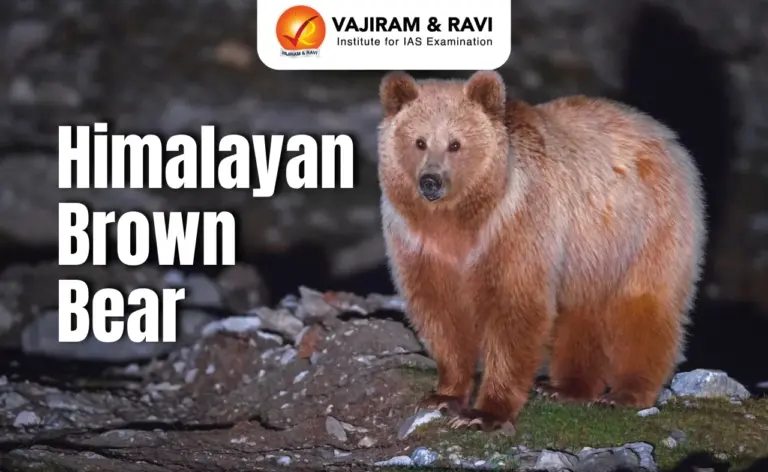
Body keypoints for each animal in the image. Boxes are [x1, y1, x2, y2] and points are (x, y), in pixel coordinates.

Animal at [376, 70, 706, 432]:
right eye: (419, 141)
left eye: (455, 143)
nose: (430, 181)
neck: (460, 221)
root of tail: (665, 134)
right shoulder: (421, 247)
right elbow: (440, 314)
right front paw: (443, 395)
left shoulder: (517, 227)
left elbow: (515, 311)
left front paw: (484, 414)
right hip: (588, 255)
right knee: (582, 313)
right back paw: (566, 387)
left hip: (643, 228)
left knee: (642, 304)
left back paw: (626, 393)